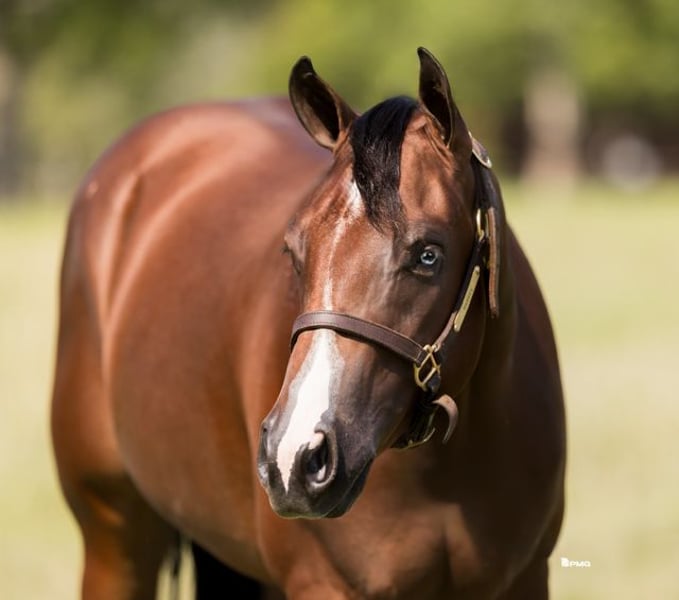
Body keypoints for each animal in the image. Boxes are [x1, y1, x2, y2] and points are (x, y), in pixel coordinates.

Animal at [51, 48, 565, 599]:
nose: (294, 458)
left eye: (428, 255)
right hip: (115, 539)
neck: (444, 478)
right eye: (294, 251)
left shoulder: (526, 579)